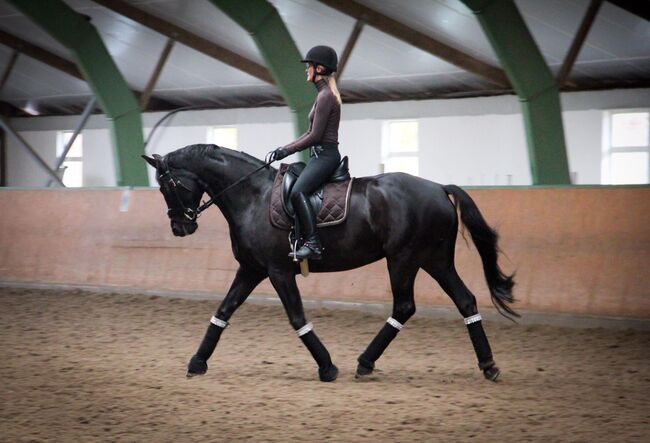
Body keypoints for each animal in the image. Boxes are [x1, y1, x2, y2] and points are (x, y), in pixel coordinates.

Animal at [144, 144, 512, 384]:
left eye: (167, 185)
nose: (180, 227)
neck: (253, 197)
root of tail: (438, 187)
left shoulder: (278, 271)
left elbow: (297, 318)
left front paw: (327, 367)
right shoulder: (252, 269)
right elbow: (222, 312)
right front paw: (197, 362)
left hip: (404, 259)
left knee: (405, 306)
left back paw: (364, 362)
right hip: (434, 260)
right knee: (465, 301)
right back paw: (488, 364)